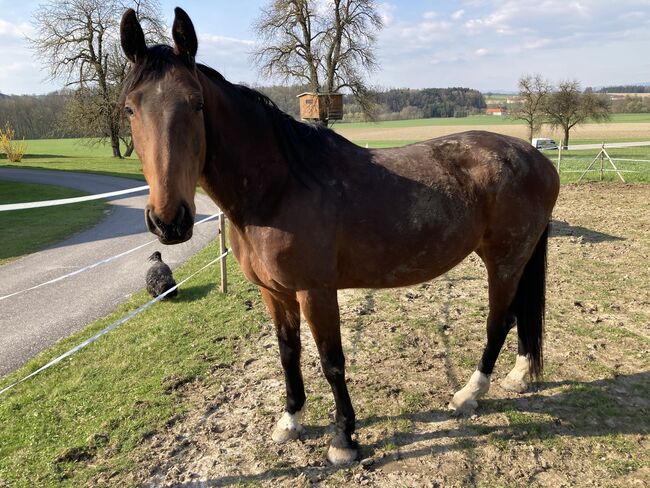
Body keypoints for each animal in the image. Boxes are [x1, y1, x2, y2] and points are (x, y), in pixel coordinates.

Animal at [120, 7, 556, 466]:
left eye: (197, 103)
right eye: (129, 108)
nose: (169, 221)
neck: (278, 189)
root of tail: (537, 158)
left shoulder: (316, 292)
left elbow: (332, 361)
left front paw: (343, 438)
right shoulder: (274, 293)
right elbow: (288, 354)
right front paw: (290, 420)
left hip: (504, 260)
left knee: (499, 321)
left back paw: (469, 394)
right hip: (515, 260)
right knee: (520, 315)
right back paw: (519, 375)